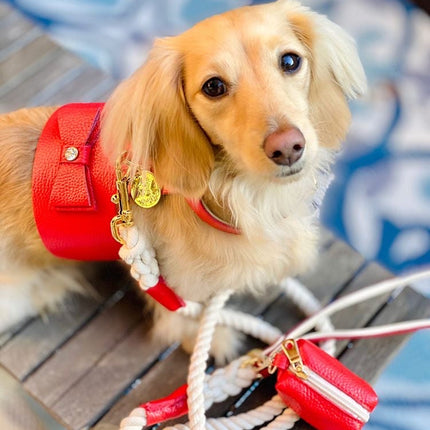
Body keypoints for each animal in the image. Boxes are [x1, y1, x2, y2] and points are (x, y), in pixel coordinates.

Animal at [0, 0, 366, 362]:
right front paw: (218, 340)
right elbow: (186, 321)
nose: (287, 147)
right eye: (214, 86)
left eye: (290, 61)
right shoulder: (172, 289)